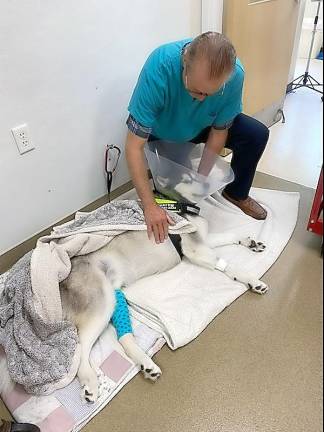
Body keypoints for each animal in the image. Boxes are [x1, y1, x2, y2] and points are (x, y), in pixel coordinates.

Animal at [0, 214, 268, 404]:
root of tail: (58, 282)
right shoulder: (195, 248)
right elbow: (227, 264)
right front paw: (252, 280)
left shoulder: (204, 240)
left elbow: (229, 235)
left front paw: (250, 241)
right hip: (101, 301)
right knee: (80, 349)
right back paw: (90, 383)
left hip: (112, 297)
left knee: (118, 339)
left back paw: (145, 364)